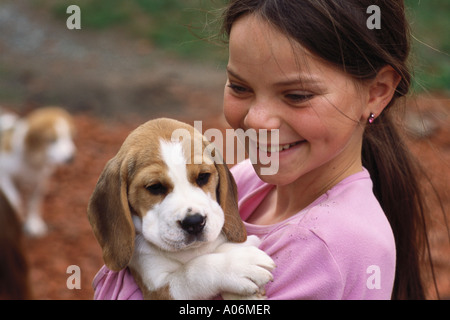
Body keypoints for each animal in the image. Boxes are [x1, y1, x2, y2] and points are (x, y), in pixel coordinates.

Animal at [0, 107, 75, 235]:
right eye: (52, 140)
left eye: (69, 137)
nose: (71, 158)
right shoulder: (4, 176)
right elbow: (15, 199)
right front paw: (18, 215)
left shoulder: (39, 181)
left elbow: (34, 203)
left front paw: (33, 223)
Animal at [87, 118, 274, 300]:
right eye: (155, 187)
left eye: (203, 176)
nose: (195, 222)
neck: (188, 252)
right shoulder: (157, 286)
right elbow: (192, 272)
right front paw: (239, 266)